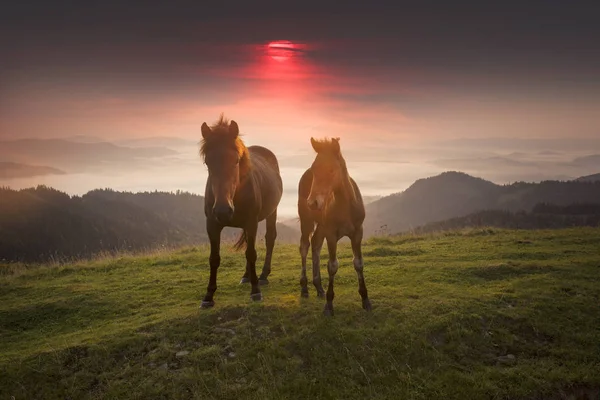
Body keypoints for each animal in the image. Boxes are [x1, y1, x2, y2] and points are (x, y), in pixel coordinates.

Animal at [197, 114, 282, 308]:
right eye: (207, 162)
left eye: (235, 160)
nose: (222, 210)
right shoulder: (212, 225)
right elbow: (214, 258)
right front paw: (208, 296)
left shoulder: (251, 222)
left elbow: (251, 253)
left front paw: (256, 291)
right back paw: (246, 276)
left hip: (272, 212)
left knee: (269, 239)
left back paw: (263, 276)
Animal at [296, 138, 370, 316]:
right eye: (315, 169)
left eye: (331, 170)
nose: (313, 203)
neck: (344, 206)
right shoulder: (331, 234)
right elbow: (332, 265)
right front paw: (329, 305)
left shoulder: (358, 232)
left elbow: (358, 263)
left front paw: (365, 299)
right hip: (307, 220)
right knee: (305, 246)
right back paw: (305, 288)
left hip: (321, 226)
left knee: (315, 244)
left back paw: (319, 287)